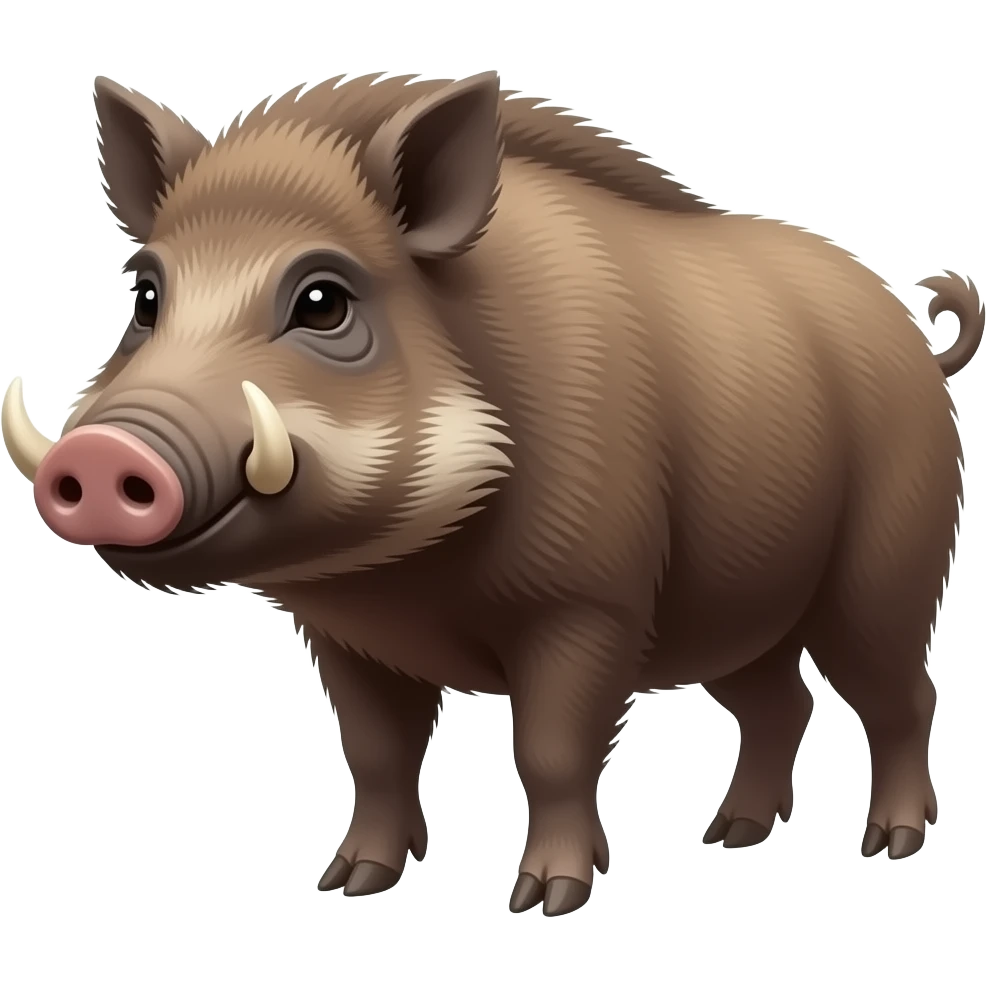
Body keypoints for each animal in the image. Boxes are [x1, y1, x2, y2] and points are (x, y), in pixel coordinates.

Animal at [2, 72, 981, 915]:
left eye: (322, 300)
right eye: (145, 295)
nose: (96, 457)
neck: (403, 574)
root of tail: (915, 334)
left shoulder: (590, 605)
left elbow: (549, 751)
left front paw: (546, 900)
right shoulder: (341, 632)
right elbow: (376, 751)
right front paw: (349, 883)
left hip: (886, 571)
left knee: (900, 692)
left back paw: (889, 844)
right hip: (734, 611)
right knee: (782, 700)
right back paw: (729, 836)